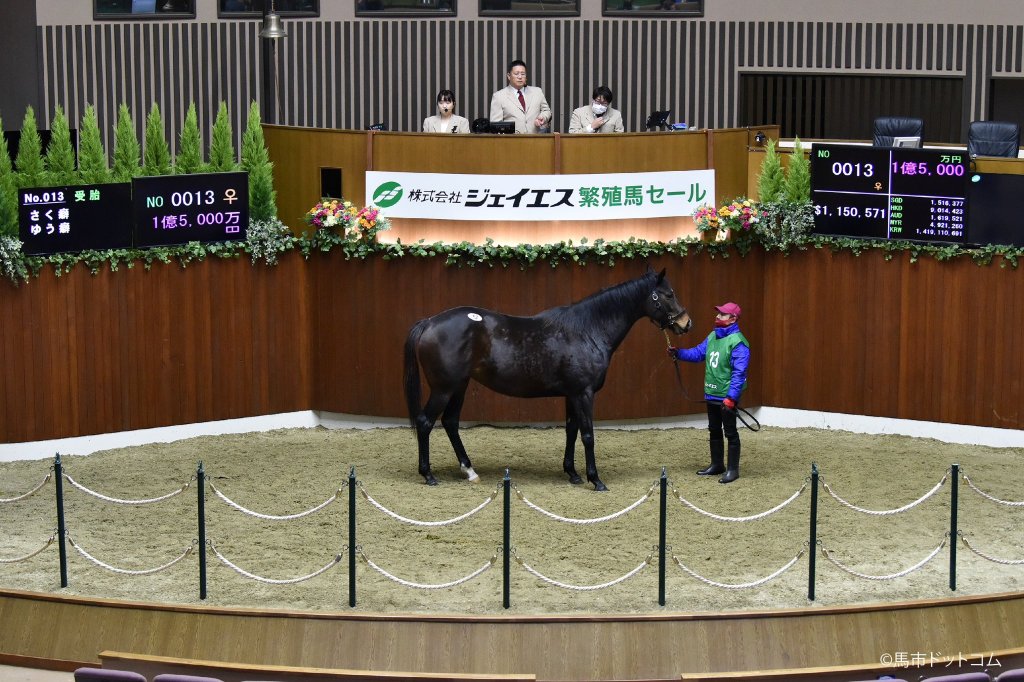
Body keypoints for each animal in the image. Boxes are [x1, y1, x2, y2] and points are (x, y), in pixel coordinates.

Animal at [403, 268, 692, 491]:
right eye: (668, 294)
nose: (686, 323)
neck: (588, 330)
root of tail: (430, 322)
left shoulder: (572, 394)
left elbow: (571, 430)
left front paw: (572, 473)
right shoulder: (584, 393)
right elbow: (588, 434)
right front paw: (595, 480)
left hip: (460, 386)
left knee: (450, 422)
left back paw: (470, 471)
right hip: (443, 388)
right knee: (426, 422)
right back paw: (428, 475)